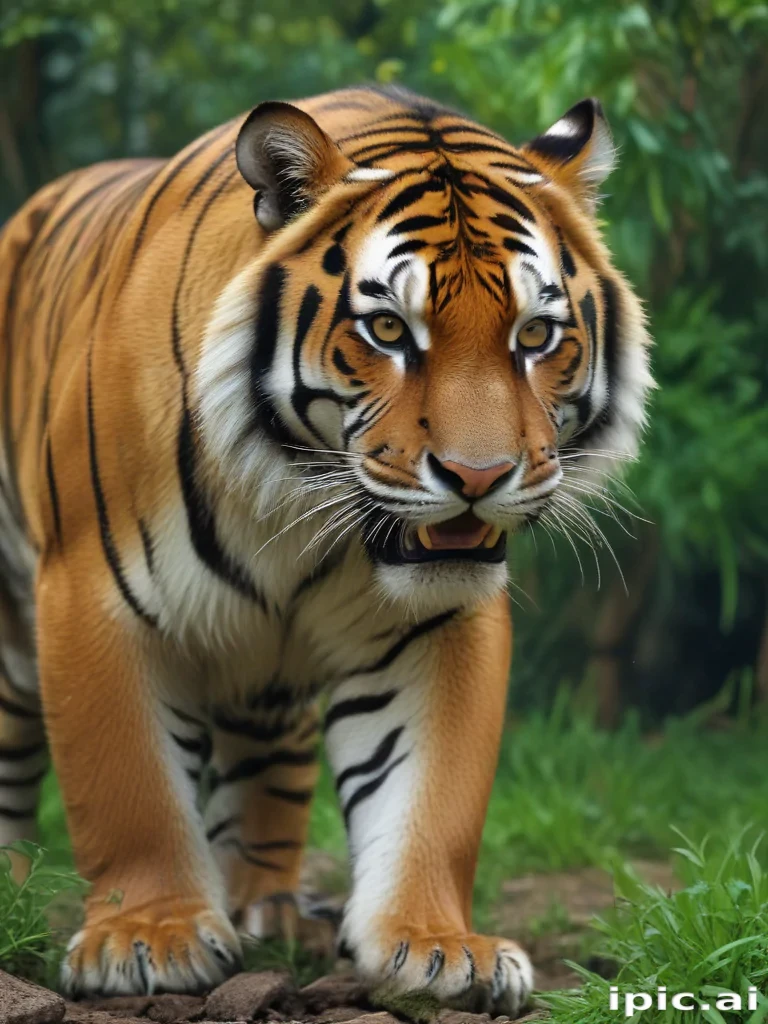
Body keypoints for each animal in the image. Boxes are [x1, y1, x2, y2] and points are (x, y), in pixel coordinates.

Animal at [0, 84, 652, 1009]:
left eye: (534, 336)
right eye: (388, 330)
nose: (479, 475)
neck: (293, 507)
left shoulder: (436, 624)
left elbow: (430, 794)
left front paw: (439, 947)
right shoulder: (92, 595)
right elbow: (129, 785)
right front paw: (149, 940)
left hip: (264, 675)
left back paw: (271, 909)